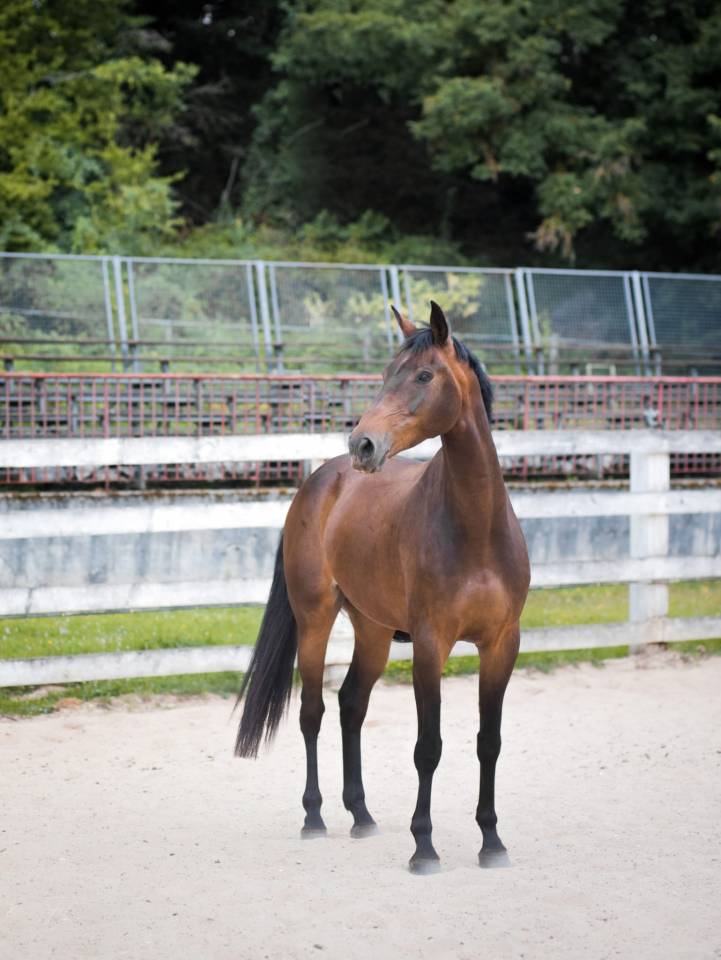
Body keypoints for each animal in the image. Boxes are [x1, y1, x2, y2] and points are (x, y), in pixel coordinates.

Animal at [235, 301, 530, 873]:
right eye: (387, 373)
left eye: (423, 375)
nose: (363, 445)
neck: (476, 528)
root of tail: (320, 482)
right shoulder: (430, 645)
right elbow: (428, 747)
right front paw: (424, 847)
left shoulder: (502, 644)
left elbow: (490, 742)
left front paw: (492, 842)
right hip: (315, 622)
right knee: (313, 712)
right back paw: (315, 818)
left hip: (371, 631)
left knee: (351, 704)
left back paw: (362, 815)